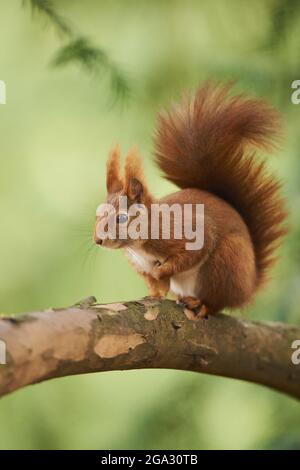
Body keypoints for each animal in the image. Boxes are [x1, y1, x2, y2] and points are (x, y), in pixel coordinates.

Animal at [93, 82, 286, 318]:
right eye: (97, 214)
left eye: (121, 218)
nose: (97, 240)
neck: (139, 246)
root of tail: (249, 287)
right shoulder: (142, 266)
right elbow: (157, 286)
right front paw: (153, 296)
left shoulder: (189, 233)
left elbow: (190, 255)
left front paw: (162, 270)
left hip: (225, 263)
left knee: (217, 301)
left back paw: (201, 304)